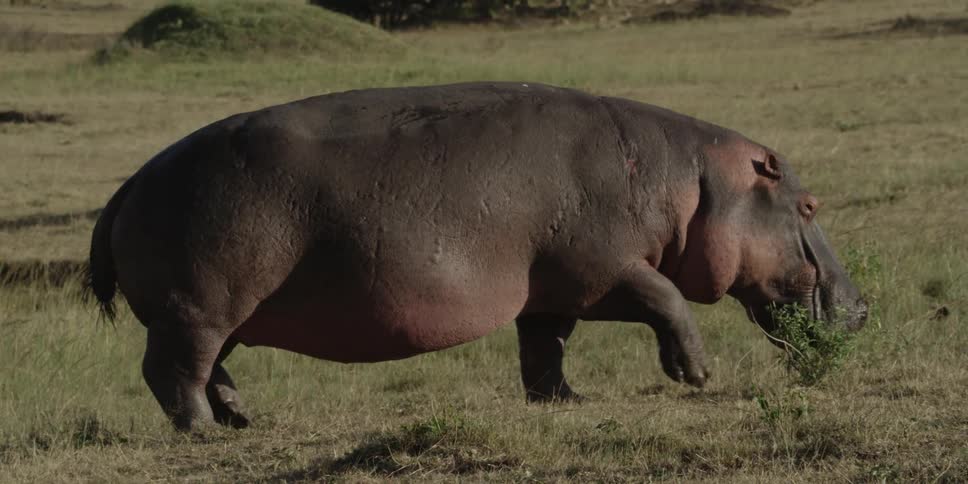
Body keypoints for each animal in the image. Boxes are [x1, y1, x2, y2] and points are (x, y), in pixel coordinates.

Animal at [86, 82, 867, 430]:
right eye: (808, 206)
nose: (861, 308)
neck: (694, 181)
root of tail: (128, 183)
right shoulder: (604, 269)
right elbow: (665, 298)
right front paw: (696, 375)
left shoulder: (553, 289)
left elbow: (544, 347)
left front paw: (565, 401)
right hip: (197, 308)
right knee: (174, 372)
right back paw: (204, 433)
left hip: (221, 313)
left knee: (213, 368)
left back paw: (244, 418)